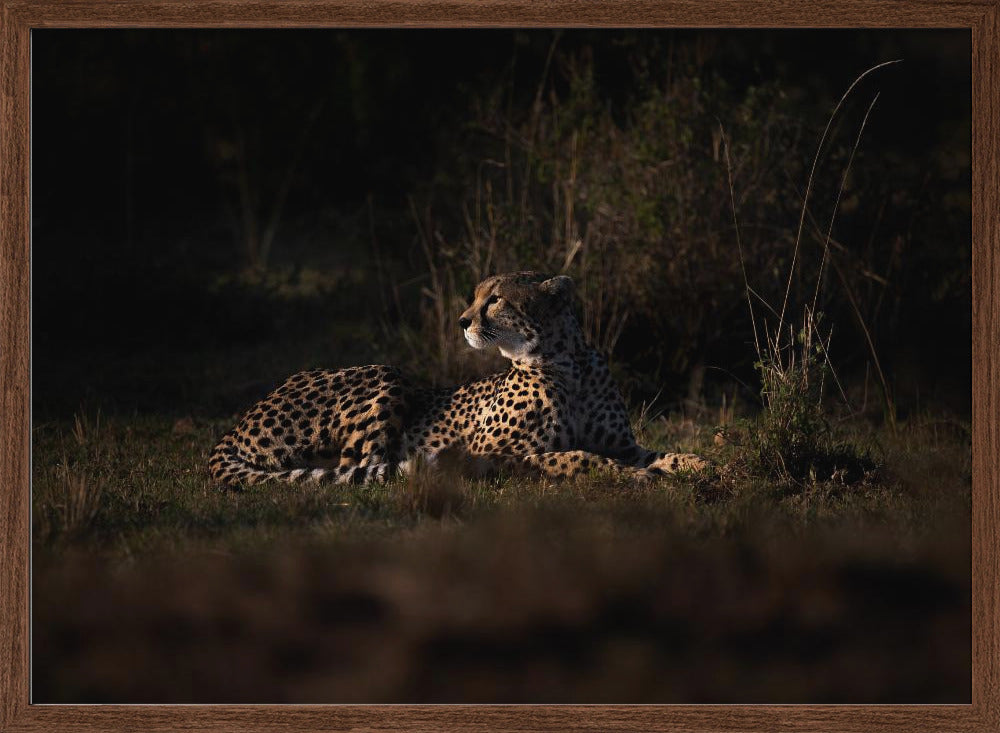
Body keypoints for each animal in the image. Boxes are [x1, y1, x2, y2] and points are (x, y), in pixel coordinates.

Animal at [208, 271, 707, 486]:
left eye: (496, 299)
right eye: (476, 296)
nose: (463, 320)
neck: (568, 365)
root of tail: (235, 425)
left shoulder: (622, 442)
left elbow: (661, 453)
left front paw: (700, 466)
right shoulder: (495, 453)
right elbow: (576, 456)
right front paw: (634, 477)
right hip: (385, 373)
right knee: (361, 467)